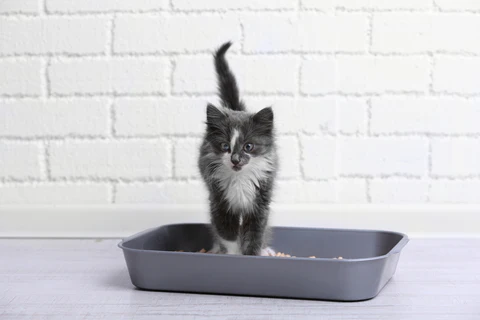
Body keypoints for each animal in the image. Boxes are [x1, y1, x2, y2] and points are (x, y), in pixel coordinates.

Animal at [197, 42, 278, 256]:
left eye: (248, 146)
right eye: (225, 146)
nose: (235, 159)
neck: (240, 179)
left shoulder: (260, 201)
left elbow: (255, 233)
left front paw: (252, 254)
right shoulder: (219, 200)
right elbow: (227, 233)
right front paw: (233, 255)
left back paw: (266, 250)